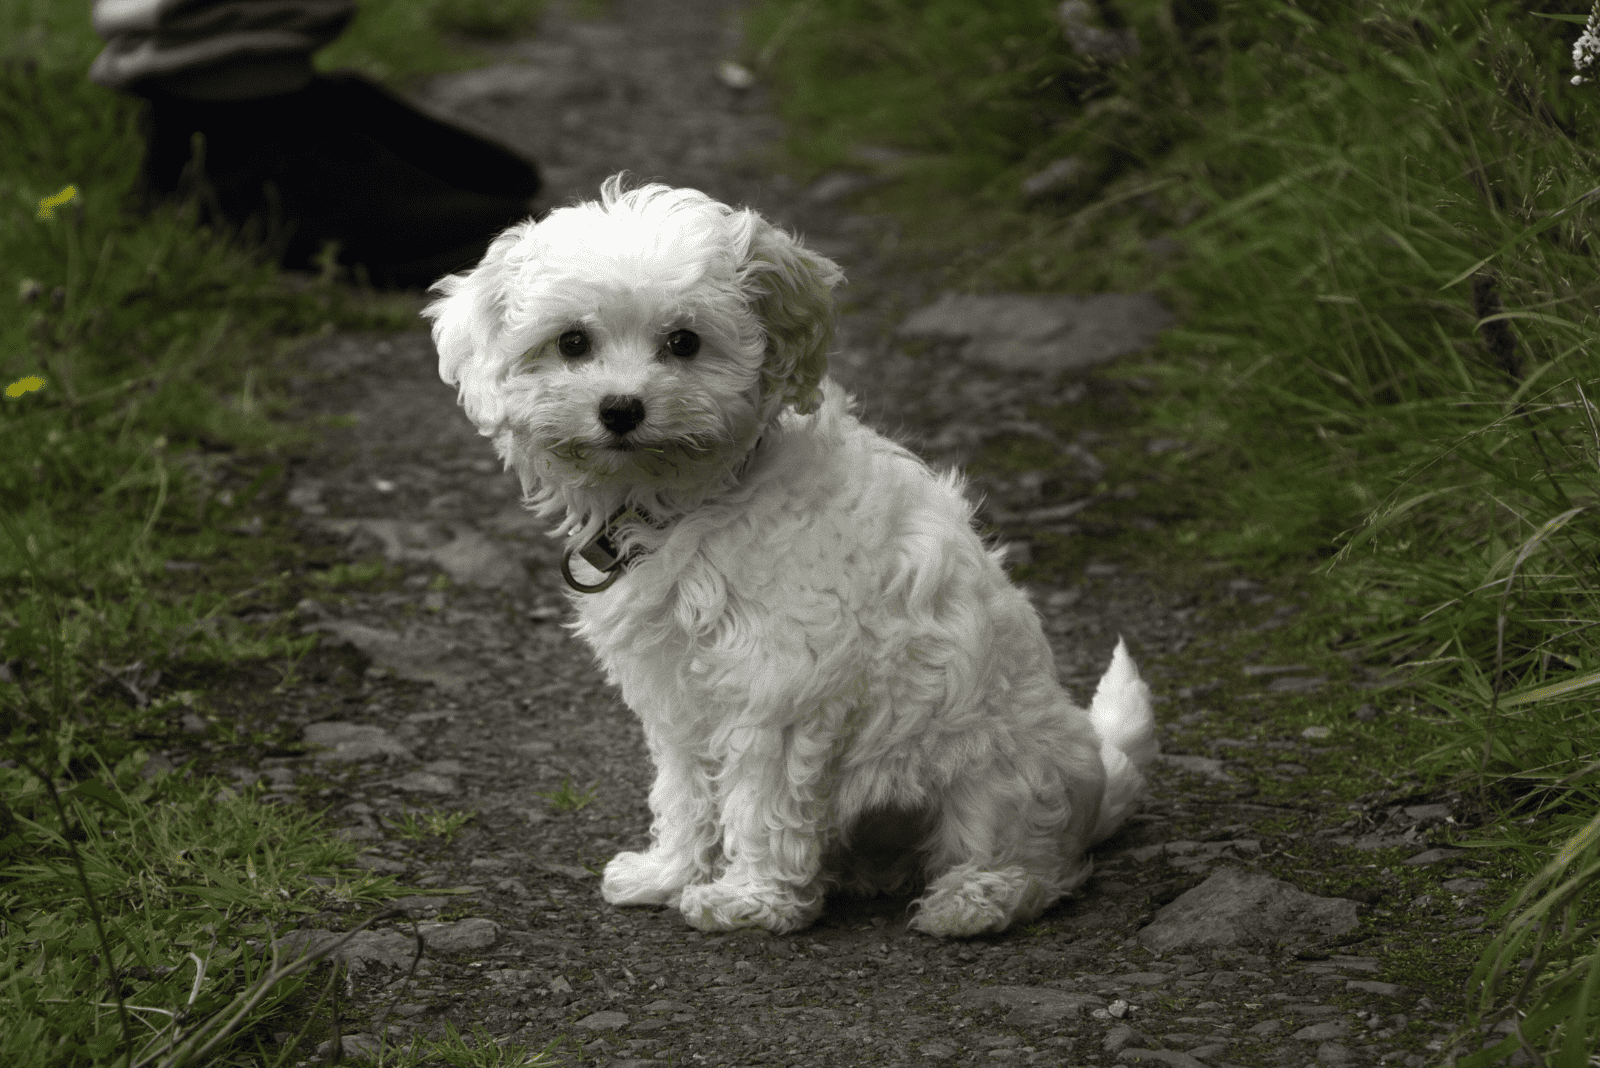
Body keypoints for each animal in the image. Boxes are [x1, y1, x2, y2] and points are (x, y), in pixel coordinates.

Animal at [425, 175, 1152, 933]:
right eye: (572, 342)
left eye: (683, 342)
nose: (621, 409)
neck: (693, 502)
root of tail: (1094, 784)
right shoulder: (677, 695)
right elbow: (684, 791)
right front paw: (670, 873)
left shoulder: (778, 685)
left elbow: (759, 800)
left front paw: (750, 899)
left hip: (995, 769)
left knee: (1036, 865)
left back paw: (976, 897)